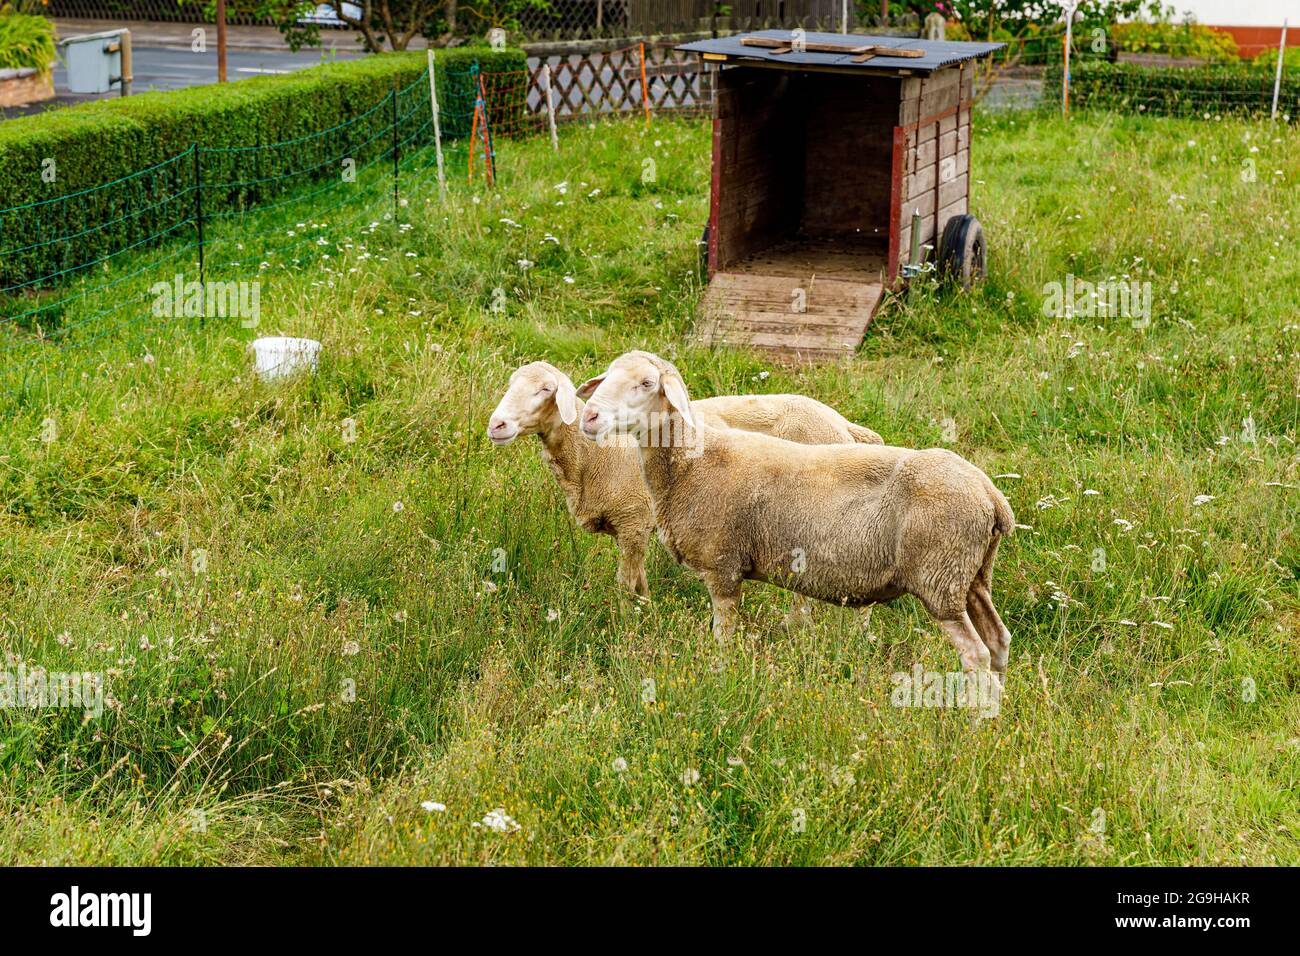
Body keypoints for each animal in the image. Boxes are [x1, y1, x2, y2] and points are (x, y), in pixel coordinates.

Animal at [486, 360, 883, 599]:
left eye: (545, 389)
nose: (497, 424)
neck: (593, 456)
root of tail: (843, 424)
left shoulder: (633, 521)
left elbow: (626, 584)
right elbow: (640, 582)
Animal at [576, 351, 1015, 688]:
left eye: (647, 383)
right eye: (607, 376)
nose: (590, 417)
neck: (691, 462)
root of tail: (991, 496)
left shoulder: (723, 565)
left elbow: (723, 636)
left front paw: (720, 676)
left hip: (940, 577)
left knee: (975, 653)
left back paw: (974, 721)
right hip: (972, 576)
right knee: (998, 641)